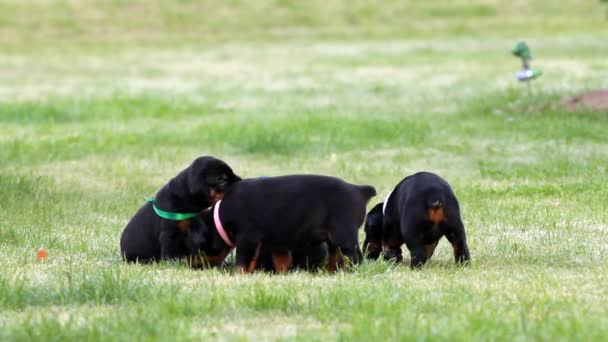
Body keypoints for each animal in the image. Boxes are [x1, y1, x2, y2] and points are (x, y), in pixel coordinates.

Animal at [186, 175, 376, 274]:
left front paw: (238, 274)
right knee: (335, 255)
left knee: (355, 256)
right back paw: (330, 272)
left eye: (198, 248)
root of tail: (360, 190)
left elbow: (242, 260)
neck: (221, 215)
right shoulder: (276, 244)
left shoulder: (247, 237)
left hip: (343, 233)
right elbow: (280, 261)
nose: (190, 265)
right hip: (332, 237)